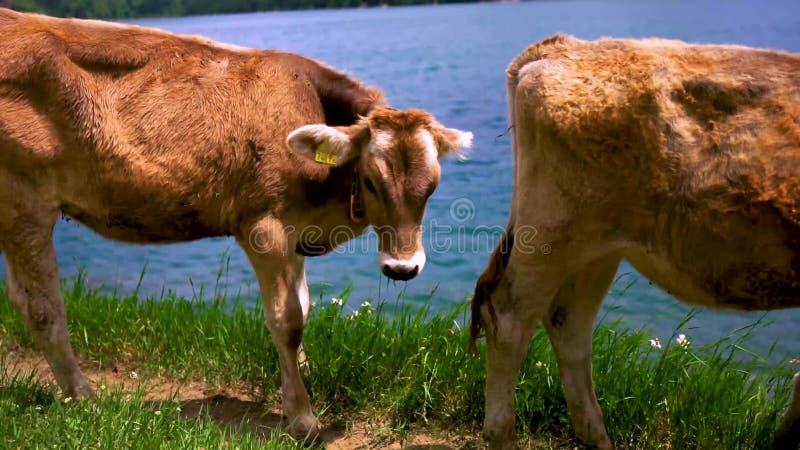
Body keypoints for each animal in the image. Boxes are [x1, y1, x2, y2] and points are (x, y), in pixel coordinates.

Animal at [0, 8, 472, 438]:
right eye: (371, 181)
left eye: (432, 187)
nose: (403, 268)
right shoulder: (264, 227)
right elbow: (288, 320)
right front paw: (301, 416)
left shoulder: (295, 231)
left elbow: (303, 305)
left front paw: (299, 379)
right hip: (24, 200)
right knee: (40, 305)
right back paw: (85, 397)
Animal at [472, 36, 796, 450]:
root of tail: (559, 47)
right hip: (551, 235)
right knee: (509, 315)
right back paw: (502, 433)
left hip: (597, 247)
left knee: (567, 321)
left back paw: (597, 437)